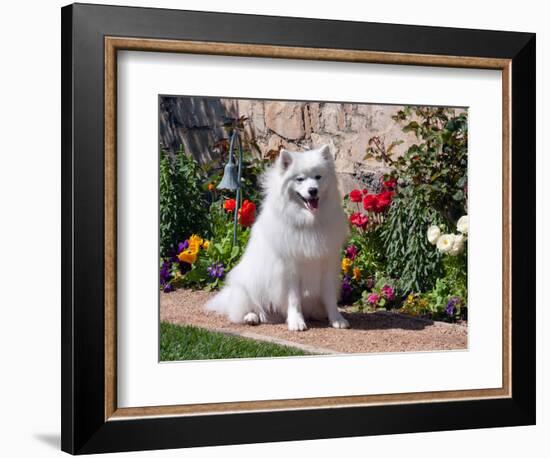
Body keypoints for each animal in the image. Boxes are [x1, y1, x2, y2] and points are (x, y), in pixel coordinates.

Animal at [205, 145, 352, 330]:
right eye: (300, 179)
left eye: (318, 177)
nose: (313, 190)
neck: (309, 222)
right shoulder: (289, 269)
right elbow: (294, 299)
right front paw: (296, 322)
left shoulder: (327, 264)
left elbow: (330, 297)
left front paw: (337, 319)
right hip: (246, 284)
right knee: (247, 308)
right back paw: (253, 316)